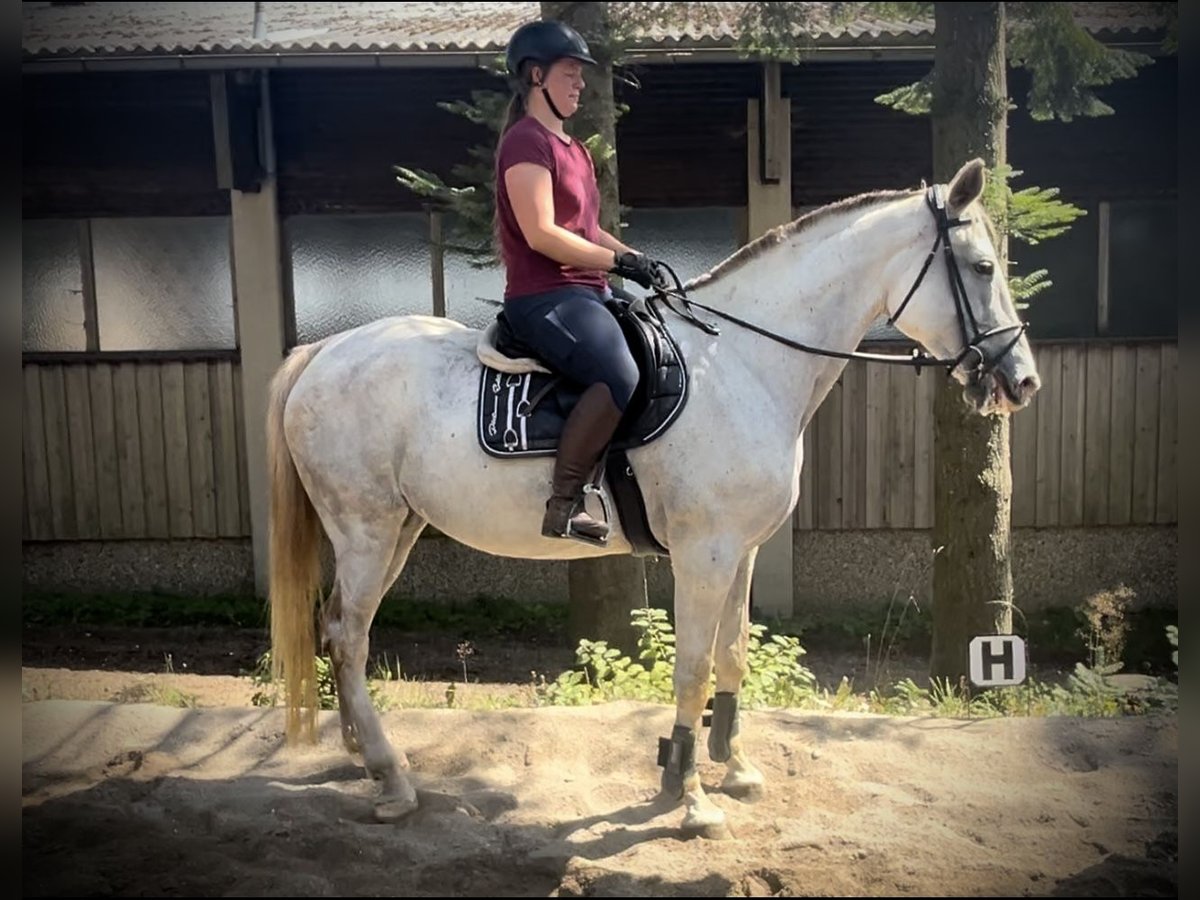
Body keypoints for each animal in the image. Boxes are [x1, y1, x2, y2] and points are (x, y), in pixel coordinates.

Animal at [265, 160, 1041, 840]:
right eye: (981, 268)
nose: (1022, 381)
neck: (744, 364)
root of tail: (324, 351)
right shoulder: (704, 554)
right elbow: (692, 669)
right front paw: (689, 795)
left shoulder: (742, 552)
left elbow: (732, 656)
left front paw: (735, 767)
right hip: (365, 530)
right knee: (349, 636)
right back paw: (392, 779)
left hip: (399, 528)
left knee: (342, 633)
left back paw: (363, 756)